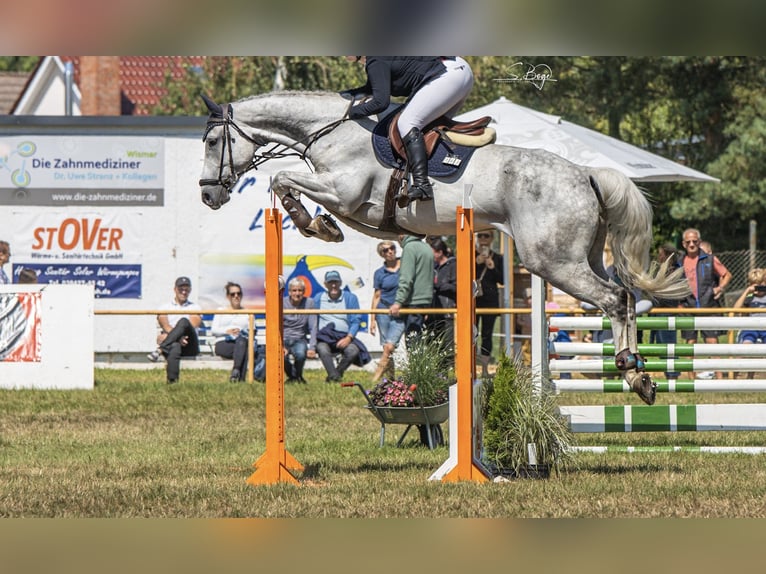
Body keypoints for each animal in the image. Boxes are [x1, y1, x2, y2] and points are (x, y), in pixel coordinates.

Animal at [198, 90, 690, 405]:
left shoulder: (343, 191)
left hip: (552, 261)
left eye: (213, 141)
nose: (208, 195)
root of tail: (586, 173)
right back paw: (640, 374)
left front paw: (312, 223)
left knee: (616, 298)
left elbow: (282, 178)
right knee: (623, 295)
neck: (330, 132)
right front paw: (321, 225)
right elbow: (287, 183)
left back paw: (634, 373)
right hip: (580, 256)